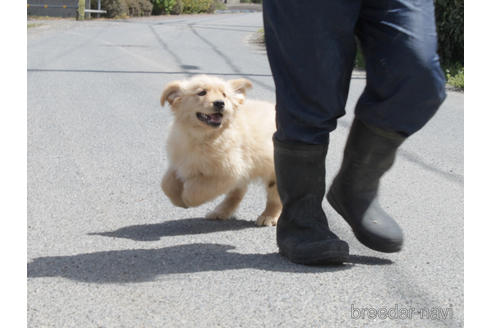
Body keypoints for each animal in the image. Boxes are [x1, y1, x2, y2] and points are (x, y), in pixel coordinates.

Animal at [160, 75, 280, 227]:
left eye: (224, 95)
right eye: (202, 92)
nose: (220, 103)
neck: (202, 136)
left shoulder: (228, 172)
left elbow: (196, 189)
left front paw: (186, 199)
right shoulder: (181, 160)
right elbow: (166, 183)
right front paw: (177, 200)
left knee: (275, 196)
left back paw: (268, 216)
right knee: (237, 193)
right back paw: (220, 212)